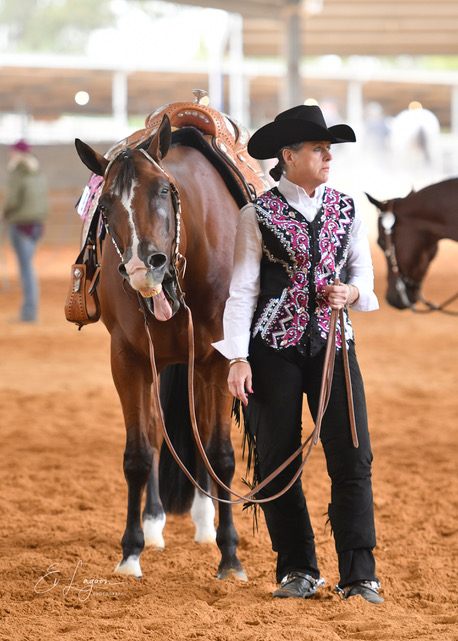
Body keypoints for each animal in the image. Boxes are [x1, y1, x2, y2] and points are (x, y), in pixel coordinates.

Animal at [74, 114, 258, 580]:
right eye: (105, 206)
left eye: (162, 189)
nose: (144, 267)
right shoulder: (128, 360)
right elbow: (139, 454)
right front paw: (130, 552)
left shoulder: (217, 362)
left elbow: (220, 454)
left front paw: (231, 556)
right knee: (159, 433)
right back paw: (156, 523)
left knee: (200, 436)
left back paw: (206, 522)